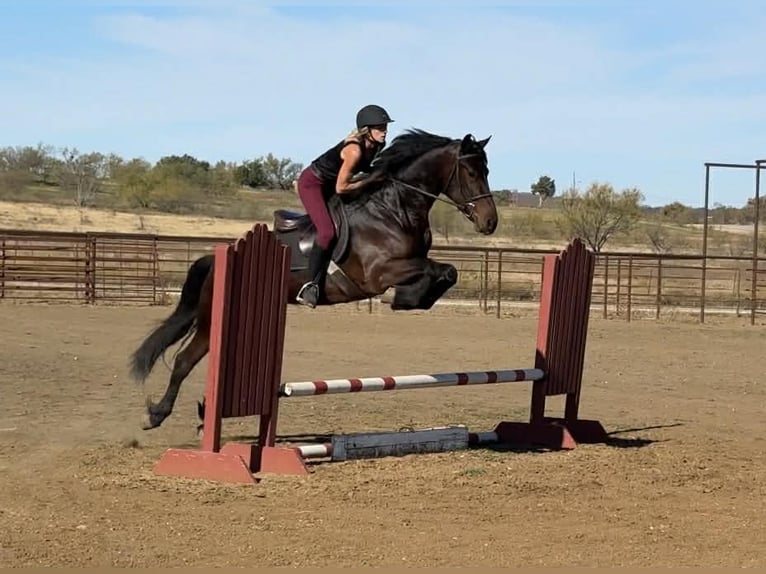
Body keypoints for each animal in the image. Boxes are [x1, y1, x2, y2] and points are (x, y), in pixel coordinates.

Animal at [129, 128, 499, 430]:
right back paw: (155, 415)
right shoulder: (380, 272)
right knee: (184, 360)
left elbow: (447, 271)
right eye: (470, 171)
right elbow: (438, 271)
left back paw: (203, 414)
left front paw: (412, 299)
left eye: (487, 170)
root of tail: (217, 257)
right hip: (211, 320)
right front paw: (401, 298)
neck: (393, 209)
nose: (490, 222)